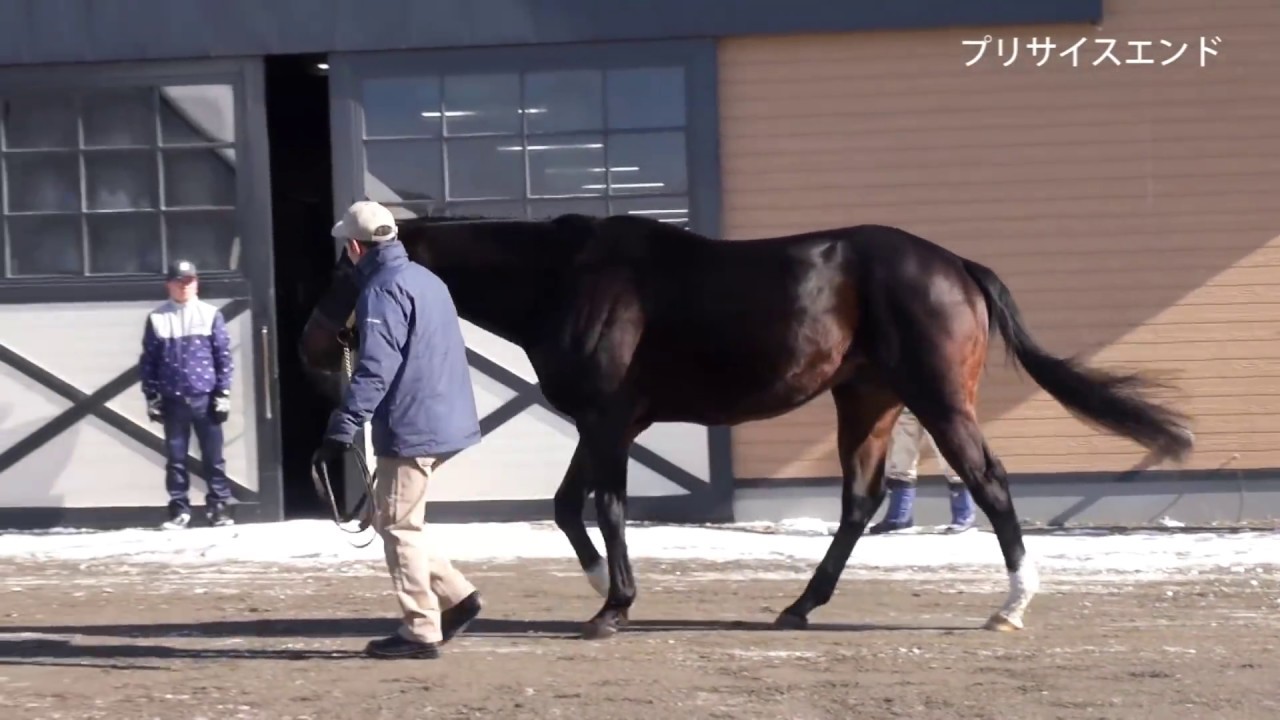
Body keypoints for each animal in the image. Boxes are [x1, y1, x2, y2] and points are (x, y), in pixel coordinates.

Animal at [299, 211, 1194, 640]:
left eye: (342, 272)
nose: (310, 341)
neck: (569, 277)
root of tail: (955, 265)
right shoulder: (607, 423)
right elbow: (567, 505)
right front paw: (599, 588)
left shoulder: (609, 420)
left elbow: (600, 506)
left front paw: (612, 605)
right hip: (866, 401)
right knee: (859, 502)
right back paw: (801, 605)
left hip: (939, 401)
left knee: (990, 483)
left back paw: (1010, 605)